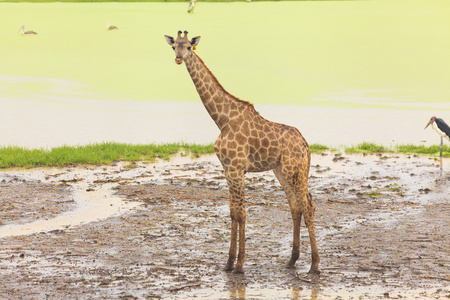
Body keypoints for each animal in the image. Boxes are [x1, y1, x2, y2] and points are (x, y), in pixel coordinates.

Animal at [163, 30, 318, 274]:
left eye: (188, 46)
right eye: (173, 46)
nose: (178, 58)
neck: (222, 120)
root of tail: (306, 145)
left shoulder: (237, 168)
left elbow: (242, 212)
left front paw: (240, 264)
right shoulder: (227, 168)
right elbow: (233, 212)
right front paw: (228, 263)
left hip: (296, 171)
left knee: (308, 206)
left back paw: (315, 265)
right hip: (281, 171)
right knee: (295, 206)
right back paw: (292, 260)